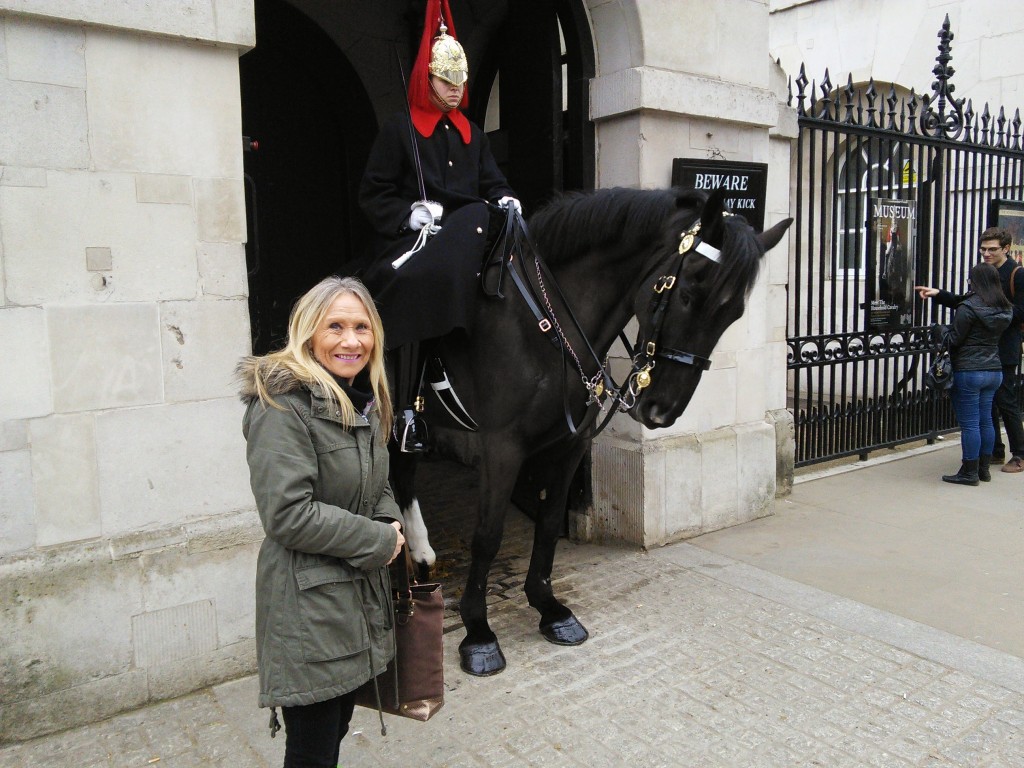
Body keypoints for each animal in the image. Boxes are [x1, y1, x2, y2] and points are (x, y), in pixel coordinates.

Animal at [387, 189, 786, 675]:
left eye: (734, 313)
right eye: (690, 293)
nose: (662, 410)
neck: (542, 320)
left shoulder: (570, 444)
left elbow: (548, 522)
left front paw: (548, 607)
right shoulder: (502, 446)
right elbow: (488, 534)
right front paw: (477, 632)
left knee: (404, 470)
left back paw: (420, 552)